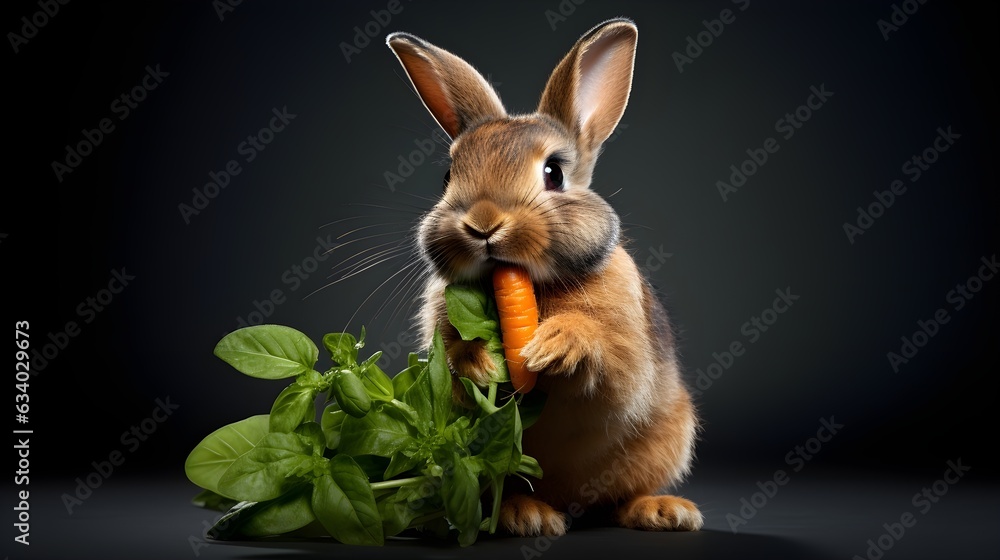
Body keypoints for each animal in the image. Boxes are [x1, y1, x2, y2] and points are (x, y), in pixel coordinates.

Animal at [386, 18, 703, 536]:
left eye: (554, 173)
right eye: (448, 175)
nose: (484, 223)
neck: (533, 285)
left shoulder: (627, 345)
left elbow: (612, 366)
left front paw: (554, 346)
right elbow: (454, 361)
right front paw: (481, 362)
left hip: (666, 438)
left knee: (624, 494)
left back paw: (663, 511)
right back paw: (527, 515)